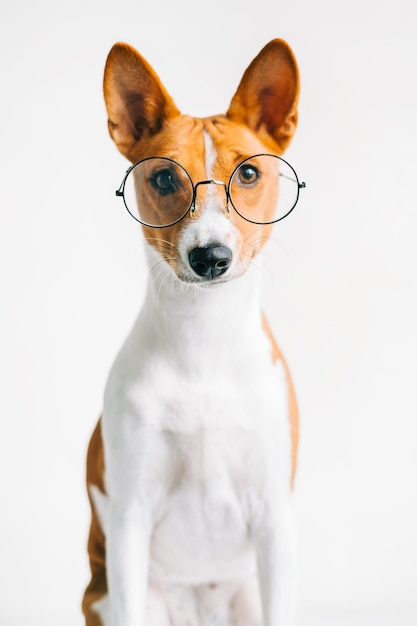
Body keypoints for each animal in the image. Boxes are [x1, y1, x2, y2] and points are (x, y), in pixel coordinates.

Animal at [82, 37, 302, 624]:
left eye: (248, 175)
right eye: (163, 178)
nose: (210, 258)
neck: (203, 339)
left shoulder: (274, 517)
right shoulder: (129, 518)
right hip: (109, 596)